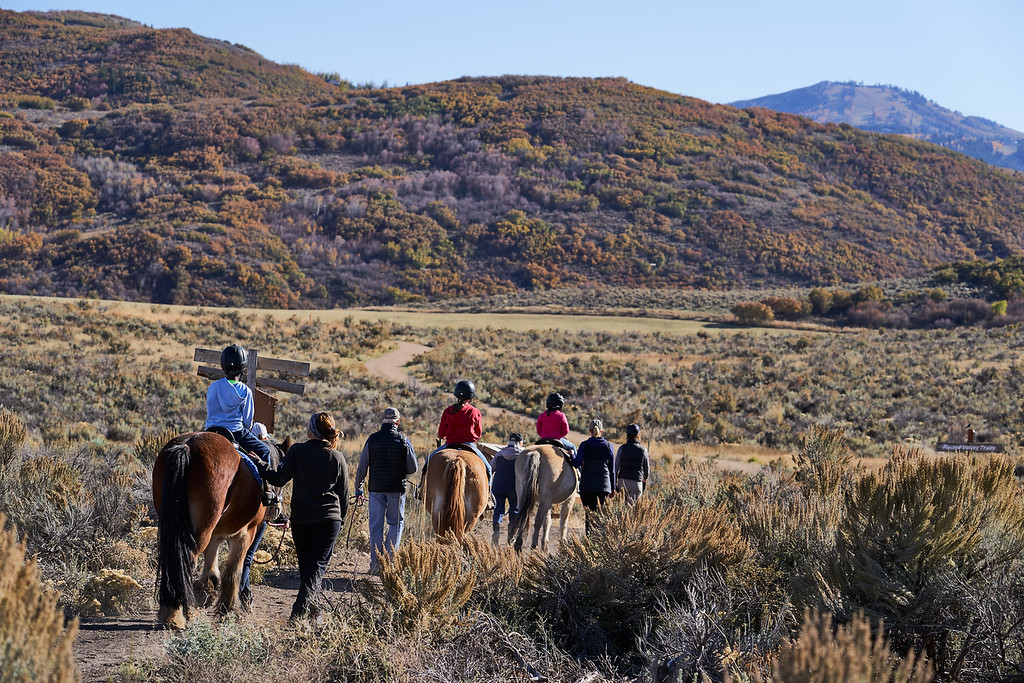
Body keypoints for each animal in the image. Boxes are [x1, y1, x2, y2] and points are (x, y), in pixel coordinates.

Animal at [150, 432, 266, 630]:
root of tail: (187, 446)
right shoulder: (246, 533)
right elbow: (233, 570)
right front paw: (226, 609)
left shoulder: (215, 534)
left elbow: (211, 566)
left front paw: (207, 593)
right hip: (203, 527)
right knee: (187, 560)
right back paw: (177, 614)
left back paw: (171, 610)